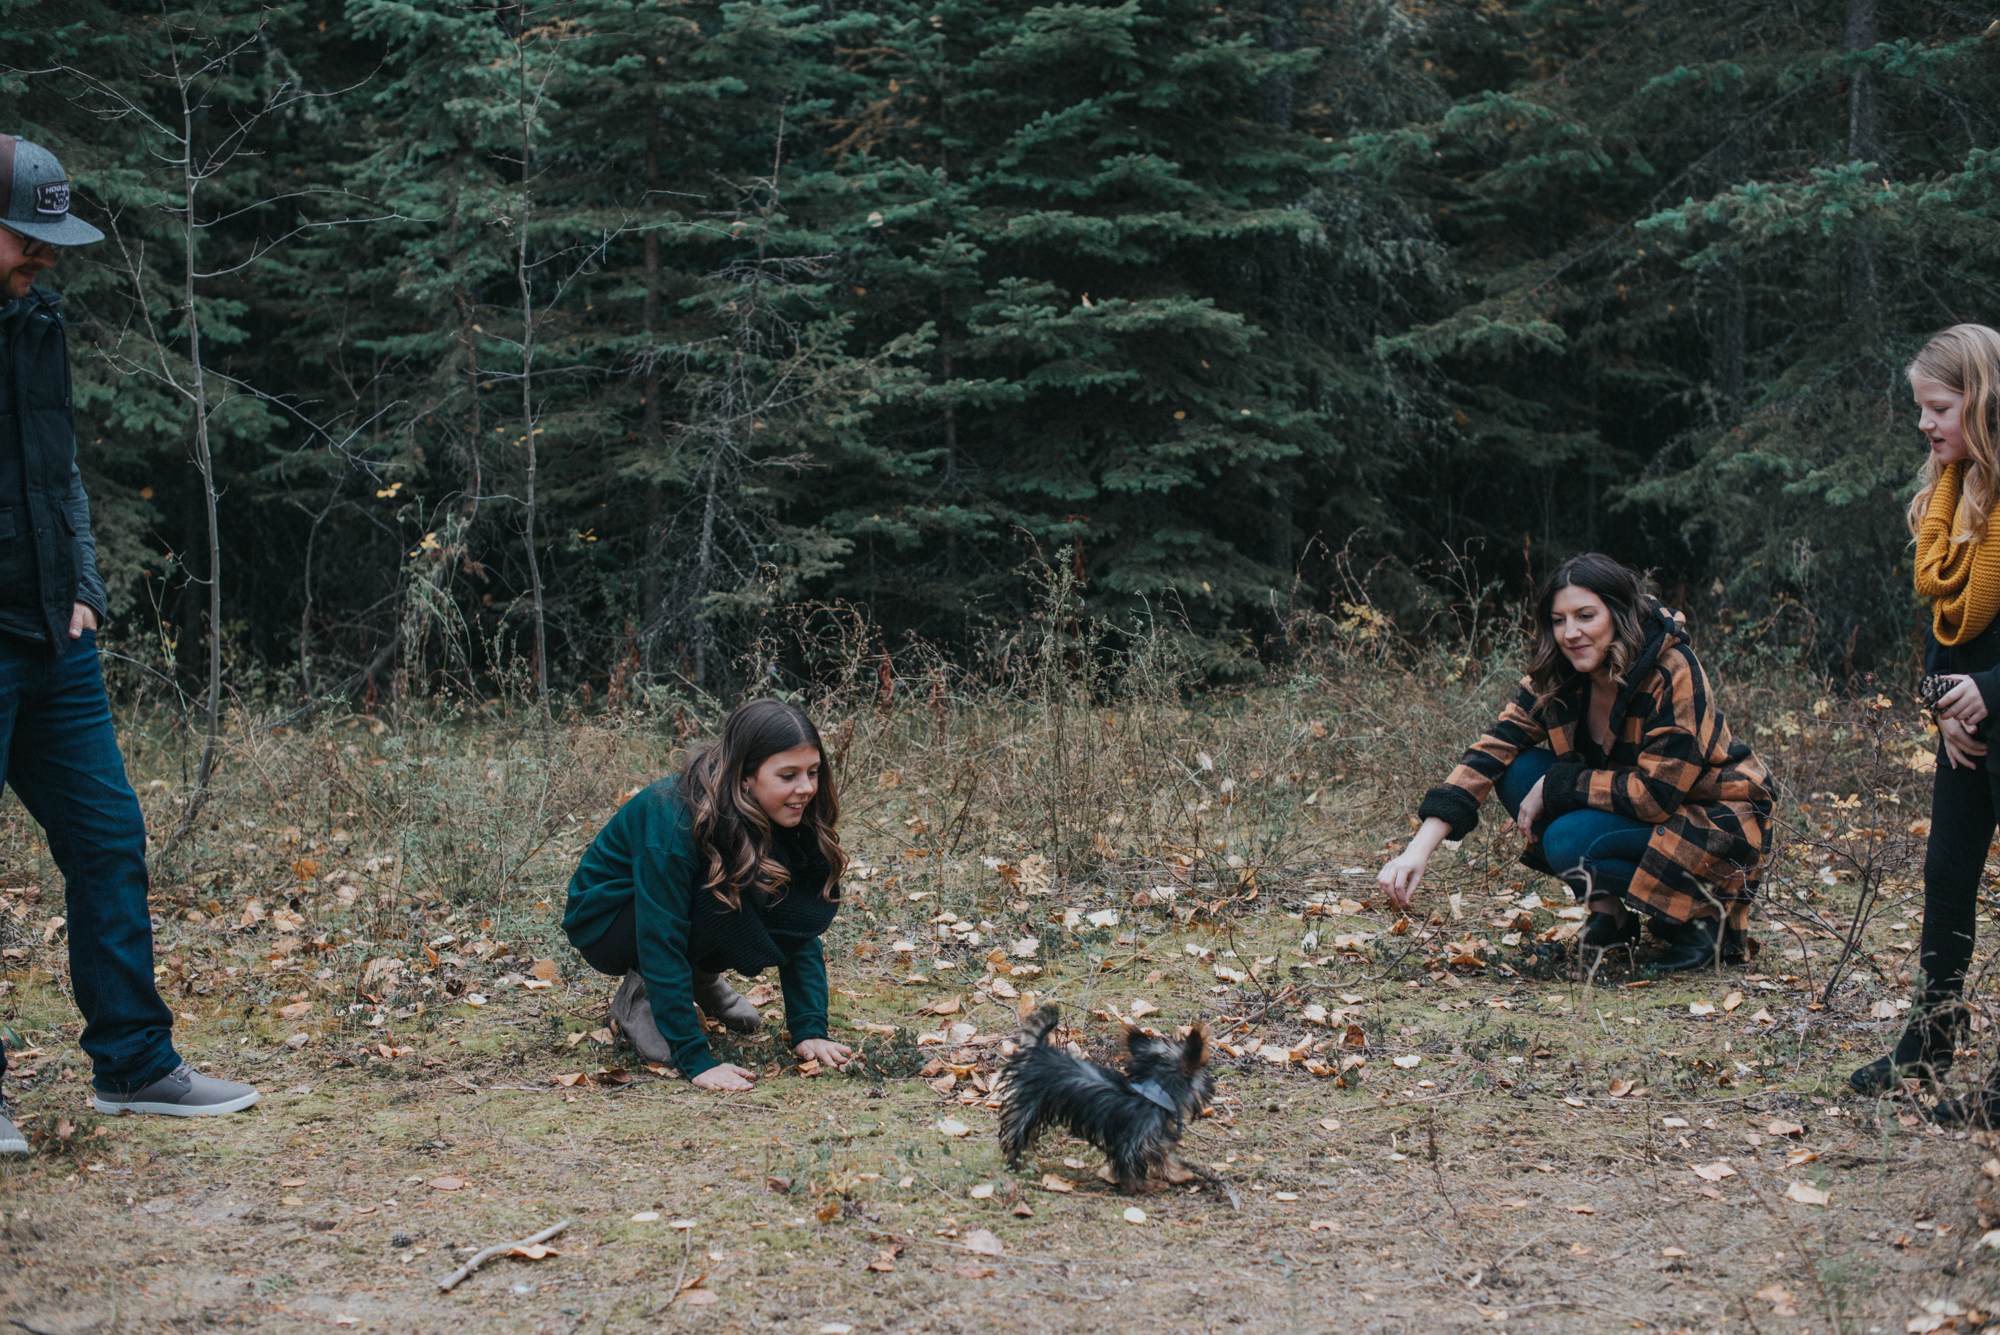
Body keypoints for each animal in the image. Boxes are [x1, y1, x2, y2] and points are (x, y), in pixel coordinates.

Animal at [997, 1002, 1217, 1195]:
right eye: (1204, 1074)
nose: (1211, 1085)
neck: (1154, 1092)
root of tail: (1038, 1051)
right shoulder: (1132, 1143)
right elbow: (1132, 1166)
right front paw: (1145, 1185)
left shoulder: (1156, 1137)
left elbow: (1165, 1156)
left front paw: (1178, 1175)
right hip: (1028, 1105)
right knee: (1016, 1133)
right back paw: (1018, 1163)